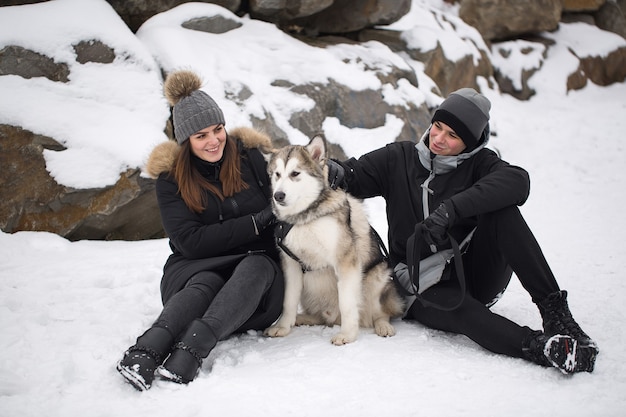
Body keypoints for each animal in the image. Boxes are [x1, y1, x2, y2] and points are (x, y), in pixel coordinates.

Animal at [260, 134, 402, 344]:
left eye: (295, 173)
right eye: (277, 174)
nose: (278, 195)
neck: (304, 218)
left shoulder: (346, 262)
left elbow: (347, 304)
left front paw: (347, 335)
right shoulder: (291, 264)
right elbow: (289, 301)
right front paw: (283, 327)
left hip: (376, 279)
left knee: (379, 313)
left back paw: (383, 325)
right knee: (321, 317)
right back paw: (302, 318)